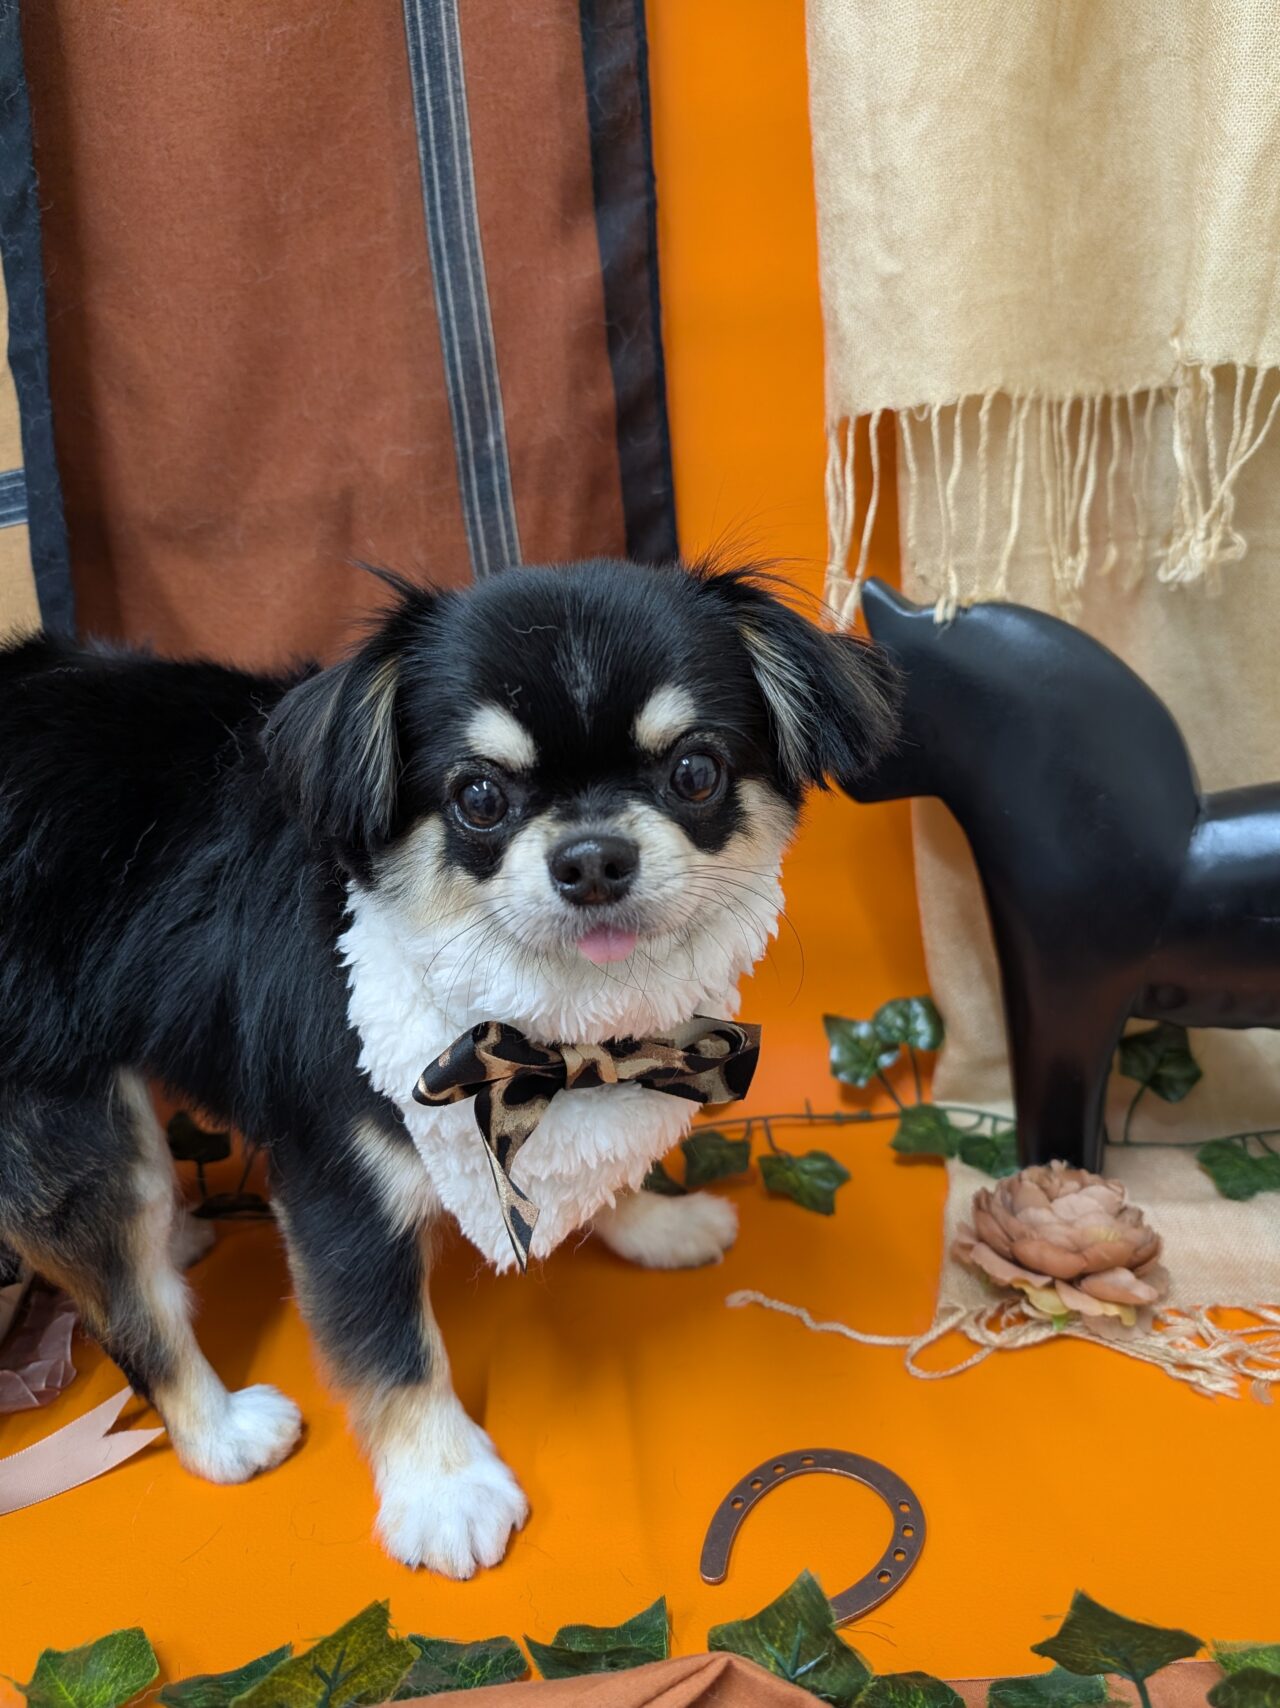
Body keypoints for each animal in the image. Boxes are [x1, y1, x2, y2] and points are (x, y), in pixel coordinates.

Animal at [0, 558, 893, 1576]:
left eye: (696, 772)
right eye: (479, 796)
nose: (593, 858)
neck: (549, 1028)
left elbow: (591, 1162)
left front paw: (652, 1222)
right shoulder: (344, 1185)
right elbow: (392, 1350)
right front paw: (444, 1489)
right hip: (72, 1121)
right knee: (128, 1298)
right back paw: (221, 1430)